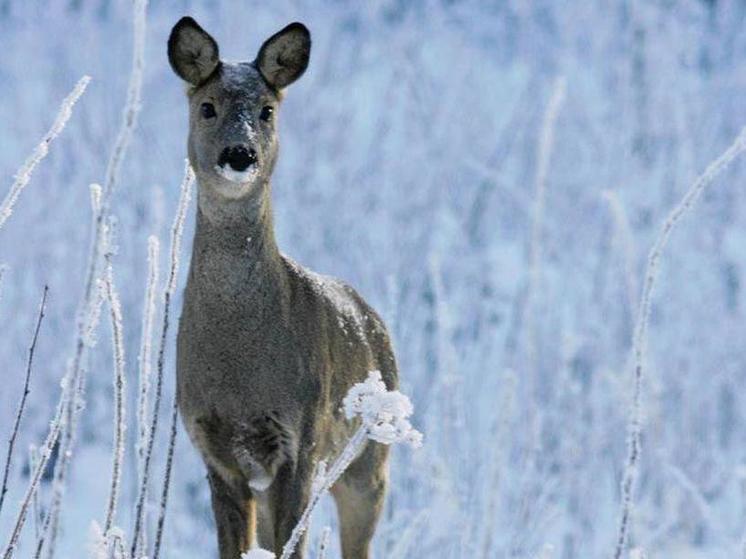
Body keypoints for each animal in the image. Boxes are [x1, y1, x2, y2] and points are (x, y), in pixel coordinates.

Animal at [169, 17, 398, 559]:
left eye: (266, 110)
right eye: (207, 106)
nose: (240, 154)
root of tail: (372, 317)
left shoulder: (301, 439)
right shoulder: (214, 448)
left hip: (369, 460)